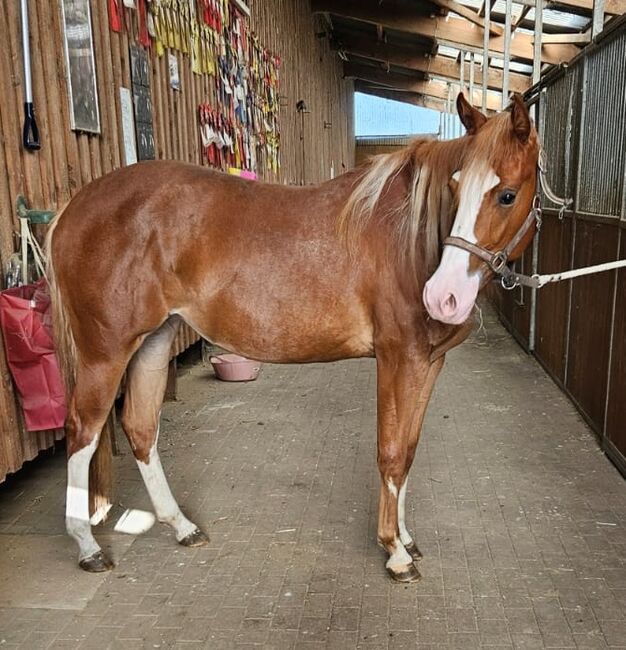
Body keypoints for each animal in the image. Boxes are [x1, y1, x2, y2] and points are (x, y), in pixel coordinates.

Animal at [47, 93, 536, 580]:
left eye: (507, 194)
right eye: (455, 188)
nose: (443, 297)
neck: (409, 238)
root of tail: (73, 208)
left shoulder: (429, 362)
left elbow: (410, 451)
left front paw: (407, 539)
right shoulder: (399, 358)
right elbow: (392, 452)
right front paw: (394, 551)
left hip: (154, 340)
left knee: (140, 426)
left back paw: (182, 526)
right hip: (105, 352)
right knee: (82, 432)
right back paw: (88, 546)